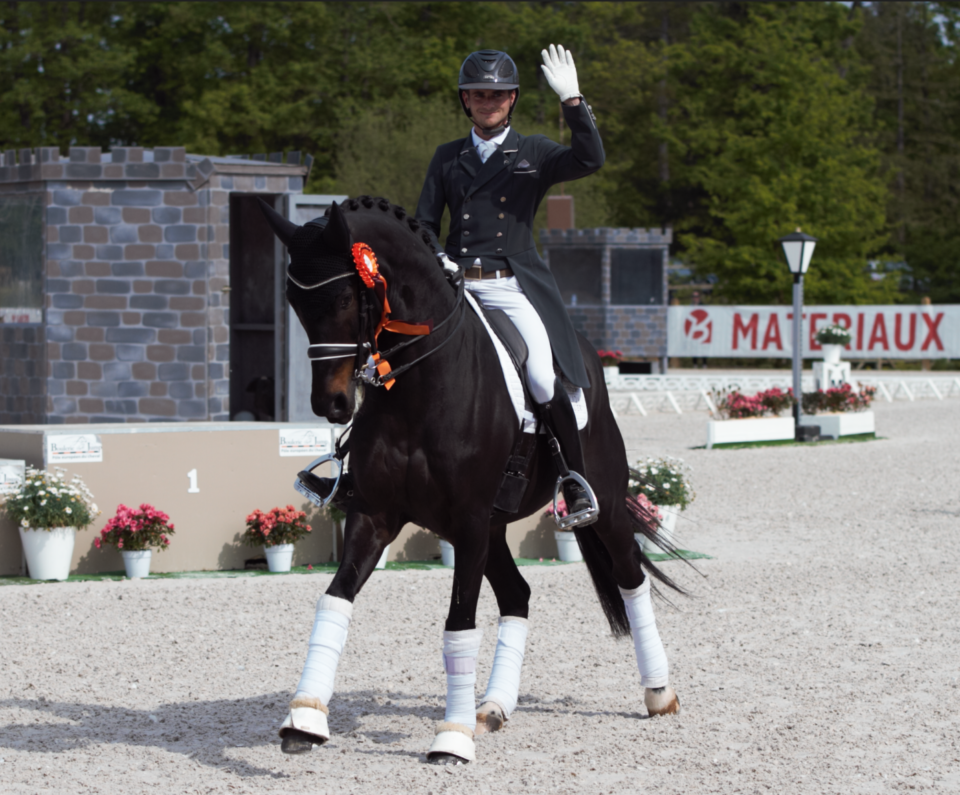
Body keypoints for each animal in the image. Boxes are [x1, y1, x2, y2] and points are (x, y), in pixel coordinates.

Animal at [260, 194, 684, 764]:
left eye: (348, 294)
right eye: (293, 300)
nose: (331, 404)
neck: (420, 386)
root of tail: (590, 360)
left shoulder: (466, 520)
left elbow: (459, 623)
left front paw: (451, 739)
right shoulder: (375, 515)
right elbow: (334, 599)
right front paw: (304, 720)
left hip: (602, 506)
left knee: (630, 576)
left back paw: (658, 692)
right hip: (493, 528)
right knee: (518, 595)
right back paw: (494, 706)